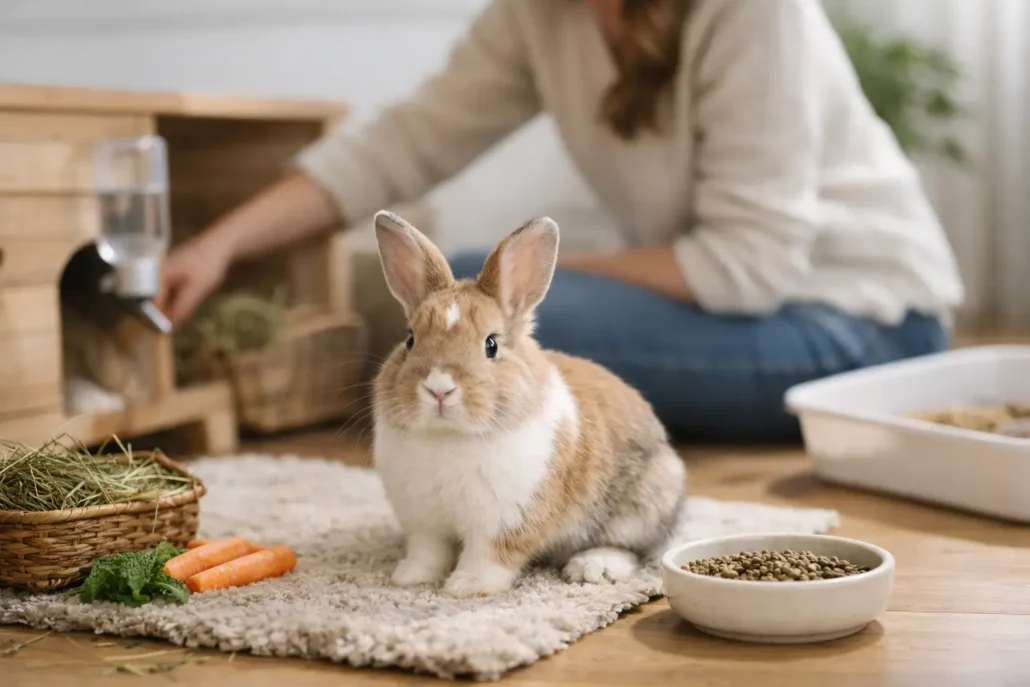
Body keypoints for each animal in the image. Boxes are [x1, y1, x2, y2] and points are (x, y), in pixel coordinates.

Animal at [370, 211, 687, 598]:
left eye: (491, 345)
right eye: (411, 340)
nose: (439, 389)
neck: (448, 436)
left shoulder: (505, 520)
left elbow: (489, 556)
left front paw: (466, 587)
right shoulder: (423, 521)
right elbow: (428, 551)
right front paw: (410, 577)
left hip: (639, 508)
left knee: (632, 549)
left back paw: (591, 567)